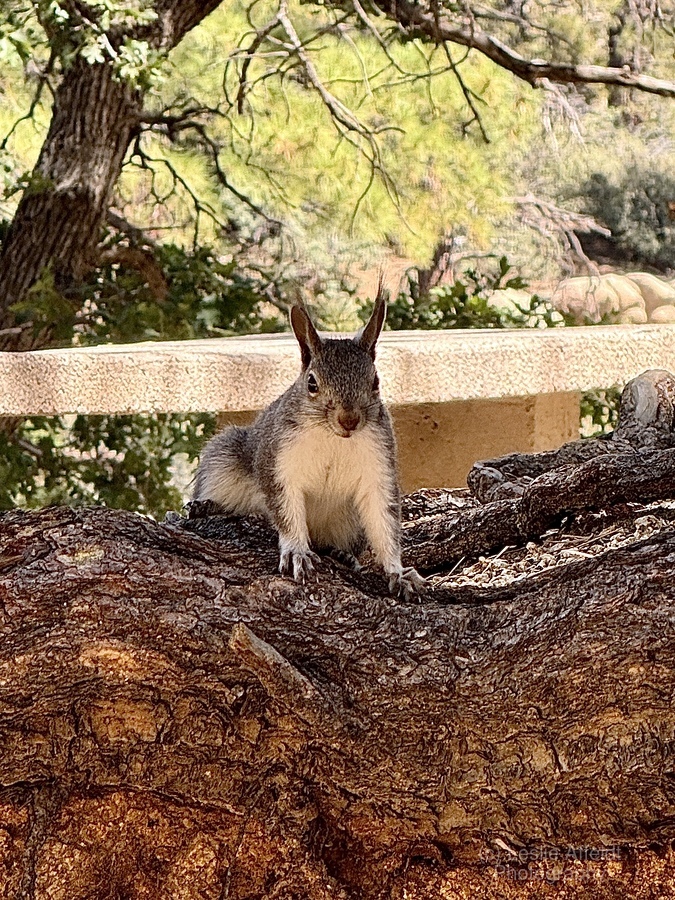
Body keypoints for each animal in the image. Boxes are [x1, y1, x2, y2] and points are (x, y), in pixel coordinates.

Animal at [192, 290, 425, 599]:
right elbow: (287, 512)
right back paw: (206, 507)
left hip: (350, 522)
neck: (333, 438)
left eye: (375, 381)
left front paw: (398, 573)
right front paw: (296, 552)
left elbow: (384, 520)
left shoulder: (379, 466)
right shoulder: (278, 464)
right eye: (312, 383)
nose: (349, 420)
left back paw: (342, 555)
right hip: (223, 460)